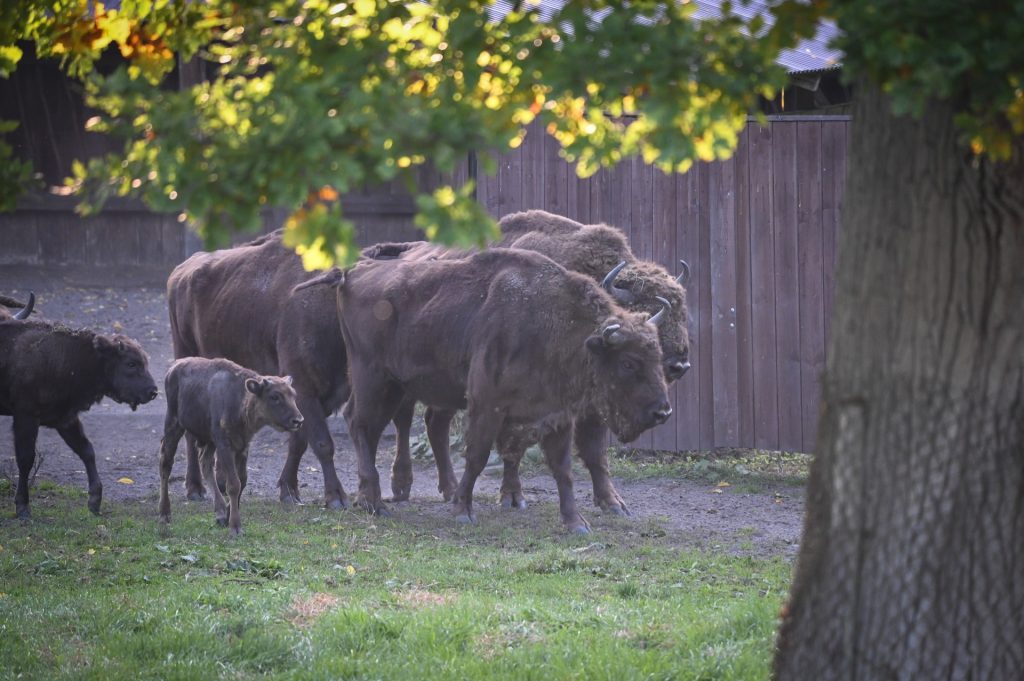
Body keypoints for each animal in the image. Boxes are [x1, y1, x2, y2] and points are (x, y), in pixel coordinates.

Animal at [0, 319, 157, 516]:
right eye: (131, 364)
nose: (153, 391)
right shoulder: (25, 417)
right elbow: (25, 459)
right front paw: (22, 507)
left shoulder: (65, 419)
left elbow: (87, 450)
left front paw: (95, 502)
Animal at [157, 356, 303, 536]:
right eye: (275, 396)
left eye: (293, 395)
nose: (298, 420)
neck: (240, 399)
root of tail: (174, 367)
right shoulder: (224, 445)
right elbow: (233, 484)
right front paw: (235, 527)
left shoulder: (242, 446)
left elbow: (242, 481)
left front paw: (226, 517)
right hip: (174, 424)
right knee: (166, 462)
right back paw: (164, 514)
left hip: (208, 440)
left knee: (205, 463)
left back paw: (219, 512)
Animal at [163, 231, 348, 507]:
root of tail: (181, 272)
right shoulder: (305, 389)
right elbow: (322, 443)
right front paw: (336, 497)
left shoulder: (307, 400)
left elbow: (299, 441)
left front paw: (289, 490)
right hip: (184, 354)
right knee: (190, 434)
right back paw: (195, 487)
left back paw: (218, 481)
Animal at [303, 245, 671, 532]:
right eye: (629, 362)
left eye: (658, 355)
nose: (662, 411)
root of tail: (354, 272)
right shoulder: (486, 405)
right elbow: (477, 456)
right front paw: (462, 511)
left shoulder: (557, 415)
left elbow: (563, 468)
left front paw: (576, 523)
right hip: (372, 376)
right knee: (358, 423)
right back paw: (374, 503)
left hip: (393, 385)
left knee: (371, 428)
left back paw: (369, 498)